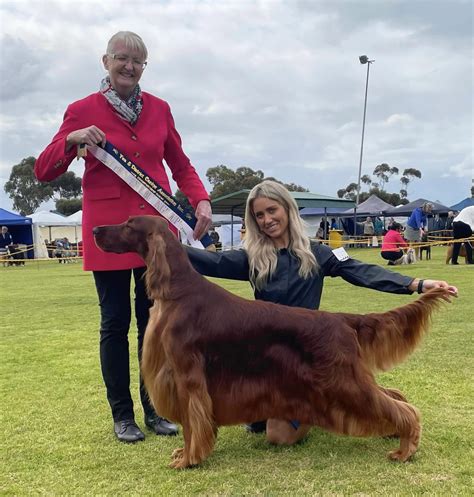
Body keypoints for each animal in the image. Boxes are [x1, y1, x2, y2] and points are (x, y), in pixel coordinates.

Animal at [93, 215, 452, 466]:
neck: (177, 291)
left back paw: (405, 450)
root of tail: (341, 319)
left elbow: (194, 423)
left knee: (401, 408)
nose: (95, 230)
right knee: (394, 397)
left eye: (128, 225)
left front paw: (189, 459)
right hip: (347, 379)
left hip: (343, 382)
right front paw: (186, 454)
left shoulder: (188, 377)